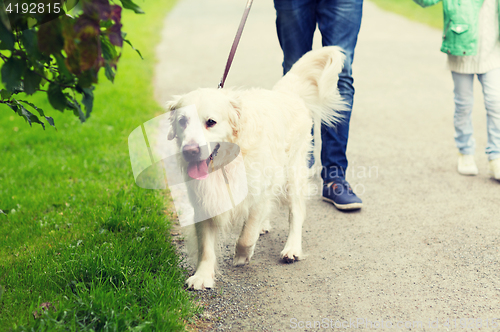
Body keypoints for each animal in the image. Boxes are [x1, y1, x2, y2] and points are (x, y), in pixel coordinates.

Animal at [166, 46, 346, 290]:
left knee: (296, 213)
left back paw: (292, 248)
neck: (226, 162)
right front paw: (203, 276)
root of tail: (286, 93)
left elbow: (246, 235)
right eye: (182, 121)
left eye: (211, 122)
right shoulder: (205, 199)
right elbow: (206, 247)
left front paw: (242, 255)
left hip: (292, 174)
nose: (190, 151)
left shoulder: (259, 194)